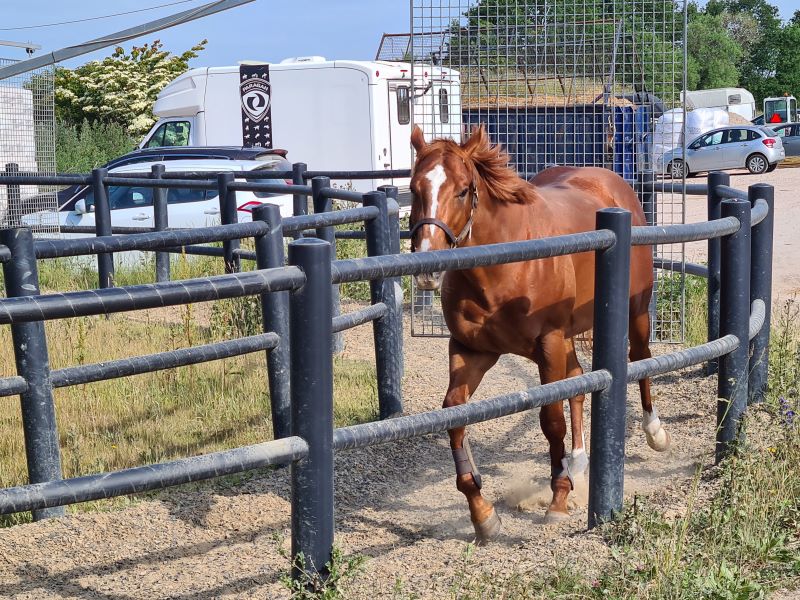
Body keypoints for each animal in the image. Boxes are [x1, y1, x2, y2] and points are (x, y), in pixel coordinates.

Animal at [410, 126, 664, 544]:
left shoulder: (548, 344)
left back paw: (654, 432)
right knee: (578, 382)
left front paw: (558, 500)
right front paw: (483, 515)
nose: (427, 267)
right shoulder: (470, 351)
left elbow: (551, 420)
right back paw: (577, 462)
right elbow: (455, 416)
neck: (501, 266)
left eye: (462, 190)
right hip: (568, 340)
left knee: (640, 360)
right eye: (415, 188)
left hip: (635, 312)